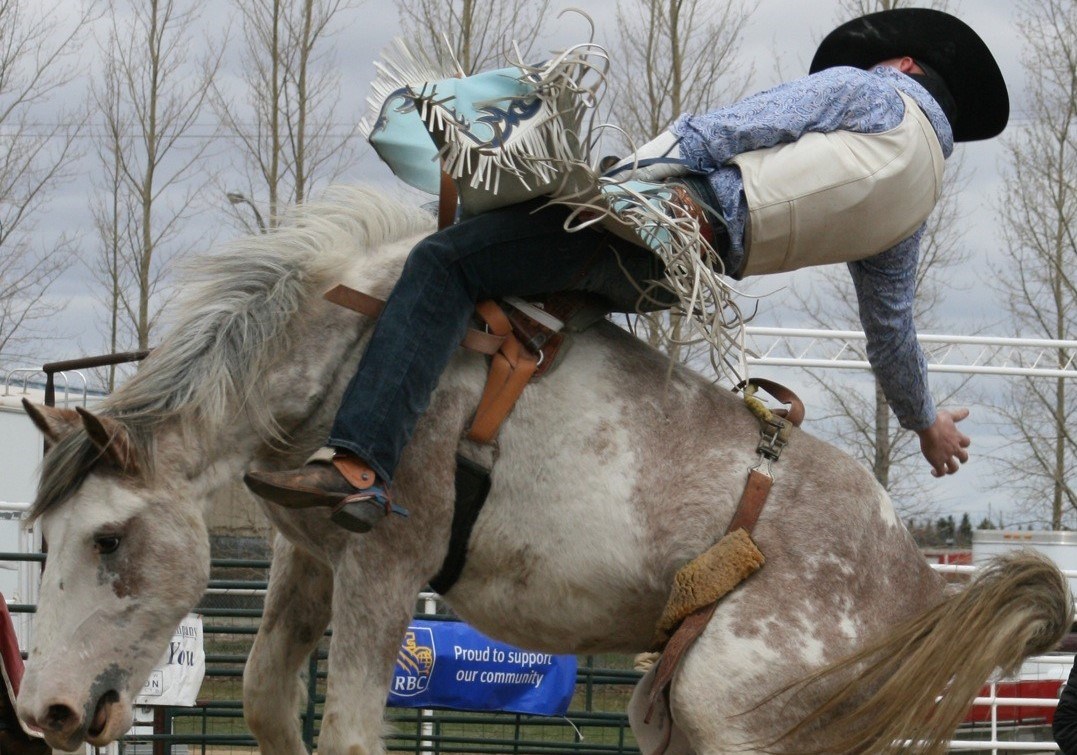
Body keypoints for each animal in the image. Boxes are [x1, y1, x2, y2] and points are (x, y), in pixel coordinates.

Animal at [12, 184, 1072, 753]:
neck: (348, 347)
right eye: (47, 540)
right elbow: (270, 696)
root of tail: (916, 580)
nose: (45, 708)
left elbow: (348, 727)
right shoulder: (309, 556)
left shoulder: (386, 565)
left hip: (739, 708)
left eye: (110, 538)